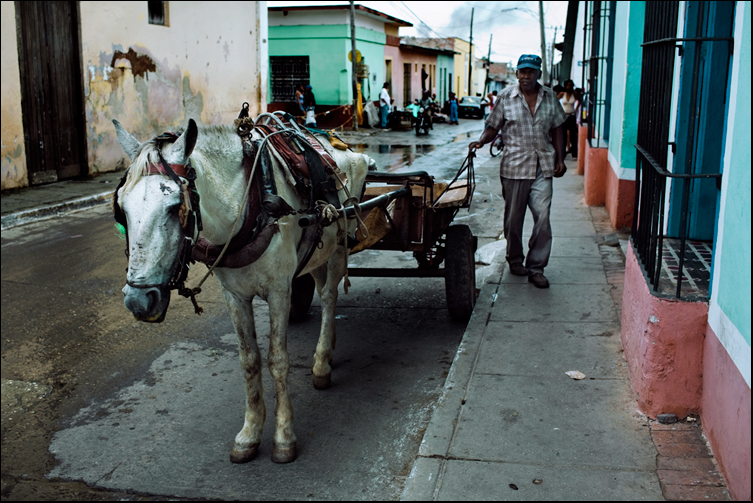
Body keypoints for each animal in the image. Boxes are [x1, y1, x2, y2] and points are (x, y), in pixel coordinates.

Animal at [113, 118, 368, 464]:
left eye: (175, 206)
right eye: (121, 209)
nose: (138, 300)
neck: (249, 204)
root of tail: (339, 143)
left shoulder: (279, 290)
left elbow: (277, 360)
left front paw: (283, 437)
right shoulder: (233, 295)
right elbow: (249, 361)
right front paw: (249, 434)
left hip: (341, 242)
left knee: (329, 297)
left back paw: (321, 362)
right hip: (317, 252)